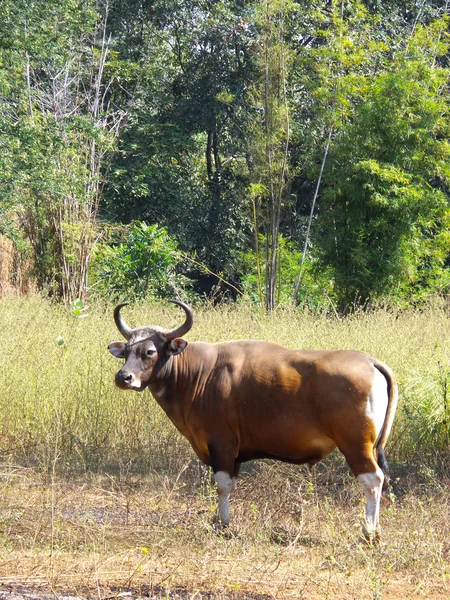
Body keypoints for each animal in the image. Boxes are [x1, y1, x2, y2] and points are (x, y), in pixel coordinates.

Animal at [108, 300, 398, 540]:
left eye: (149, 352)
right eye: (127, 352)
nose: (124, 377)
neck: (198, 374)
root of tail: (371, 362)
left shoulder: (221, 443)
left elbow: (222, 485)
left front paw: (223, 524)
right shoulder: (233, 453)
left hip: (356, 444)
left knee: (373, 480)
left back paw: (369, 532)